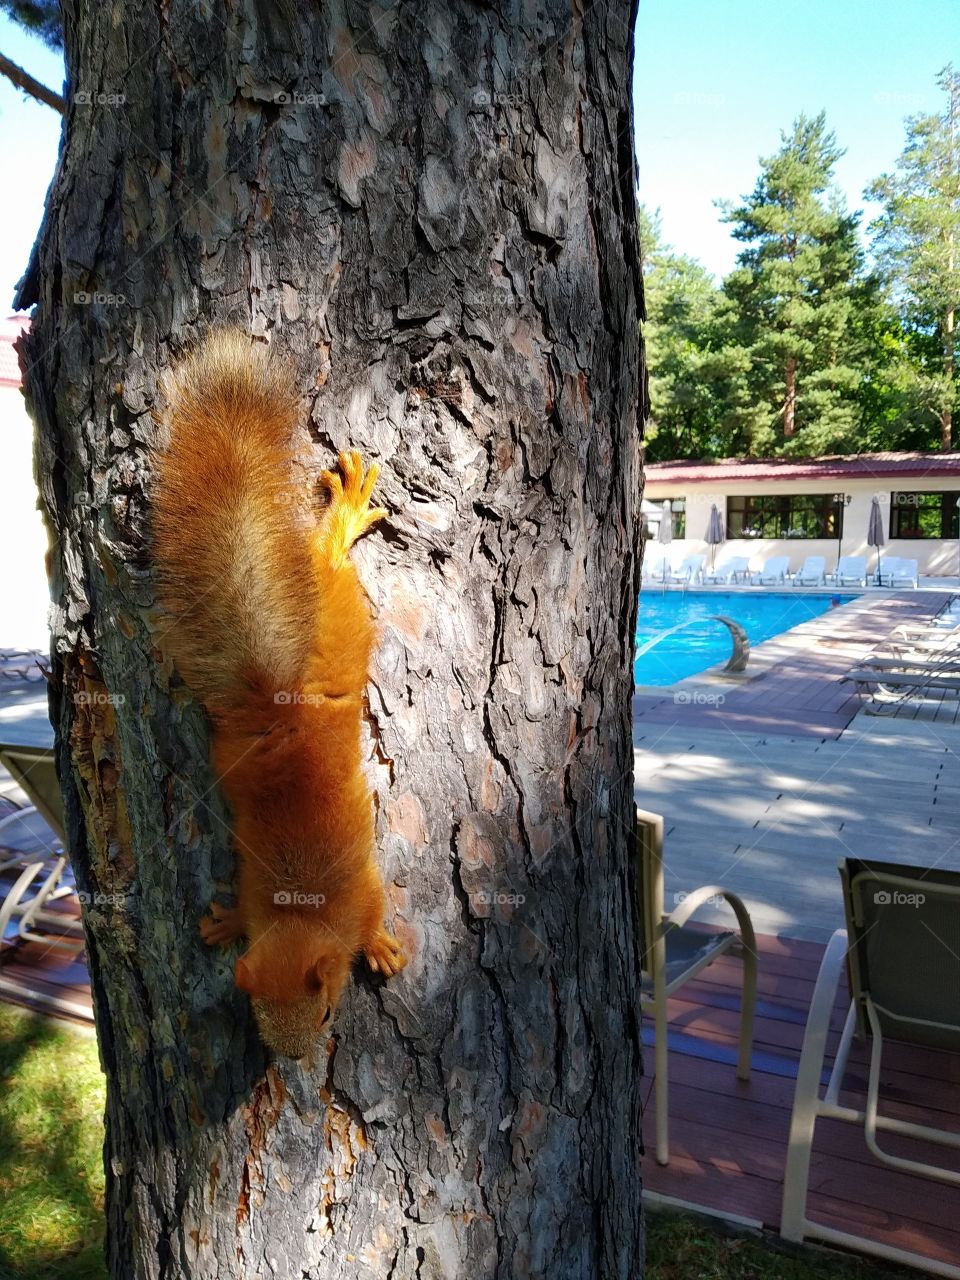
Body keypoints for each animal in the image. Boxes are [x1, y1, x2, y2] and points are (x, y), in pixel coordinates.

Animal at [151, 330, 406, 1058]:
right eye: (258, 1017)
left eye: (323, 1014)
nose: (292, 1058)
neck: (297, 916)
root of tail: (277, 709)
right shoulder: (257, 894)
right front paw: (223, 926)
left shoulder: (362, 894)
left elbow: (372, 917)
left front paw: (380, 947)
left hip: (335, 622)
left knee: (327, 562)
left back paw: (341, 520)